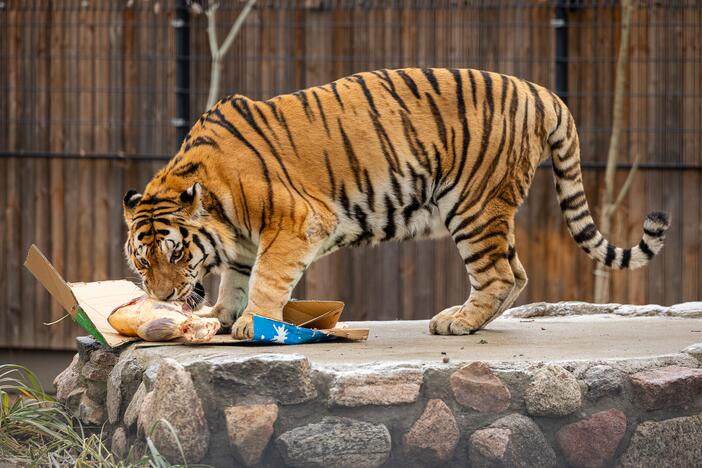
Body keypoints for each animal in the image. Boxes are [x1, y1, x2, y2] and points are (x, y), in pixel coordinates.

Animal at [122, 67, 672, 338]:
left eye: (177, 252)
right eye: (143, 262)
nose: (163, 297)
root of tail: (542, 92)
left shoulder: (297, 222)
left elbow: (264, 279)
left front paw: (247, 323)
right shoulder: (241, 242)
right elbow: (236, 276)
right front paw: (220, 314)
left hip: (472, 207)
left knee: (496, 275)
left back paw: (458, 323)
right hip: (494, 210)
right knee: (515, 274)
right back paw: (470, 318)